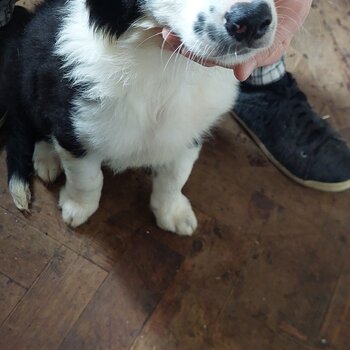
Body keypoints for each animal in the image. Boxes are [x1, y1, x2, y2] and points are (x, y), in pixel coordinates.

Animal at [1, 0, 278, 235]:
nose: (253, 19)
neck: (165, 63)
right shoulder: (74, 128)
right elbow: (87, 178)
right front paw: (78, 208)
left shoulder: (189, 131)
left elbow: (175, 176)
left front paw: (172, 213)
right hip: (29, 79)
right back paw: (47, 157)